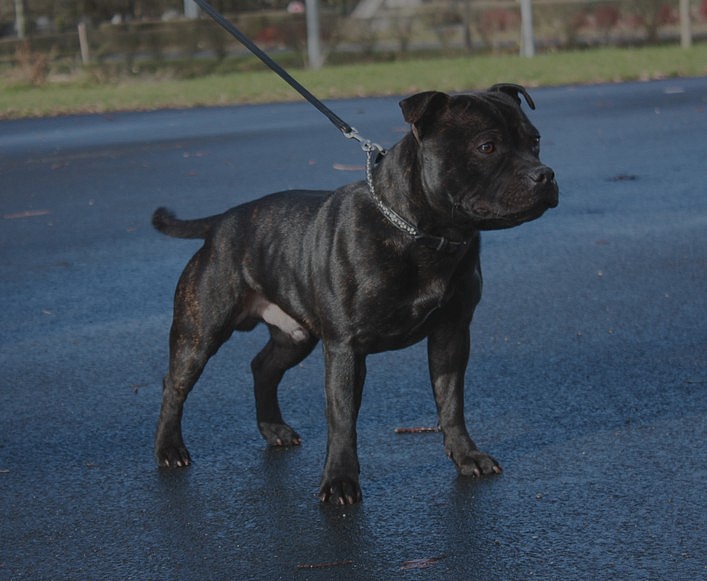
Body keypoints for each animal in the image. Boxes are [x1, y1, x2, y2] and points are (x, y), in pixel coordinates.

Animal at [152, 84, 558, 504]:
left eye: (535, 141)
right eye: (487, 147)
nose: (545, 175)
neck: (421, 233)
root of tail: (222, 222)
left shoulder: (451, 334)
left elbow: (451, 403)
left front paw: (466, 456)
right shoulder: (345, 348)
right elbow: (343, 418)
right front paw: (340, 481)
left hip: (296, 336)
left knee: (263, 367)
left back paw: (273, 429)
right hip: (200, 332)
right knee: (175, 385)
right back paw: (170, 449)